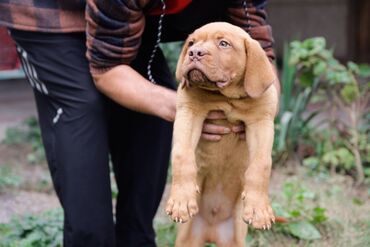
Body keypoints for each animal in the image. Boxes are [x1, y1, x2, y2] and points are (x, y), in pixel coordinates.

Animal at [166, 22, 278, 246]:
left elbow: (261, 165)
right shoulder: (188, 112)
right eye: (191, 43)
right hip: (186, 239)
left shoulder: (262, 122)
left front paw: (259, 209)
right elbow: (182, 155)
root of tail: (212, 229)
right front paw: (181, 200)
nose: (194, 53)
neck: (227, 98)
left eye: (224, 43)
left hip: (235, 239)